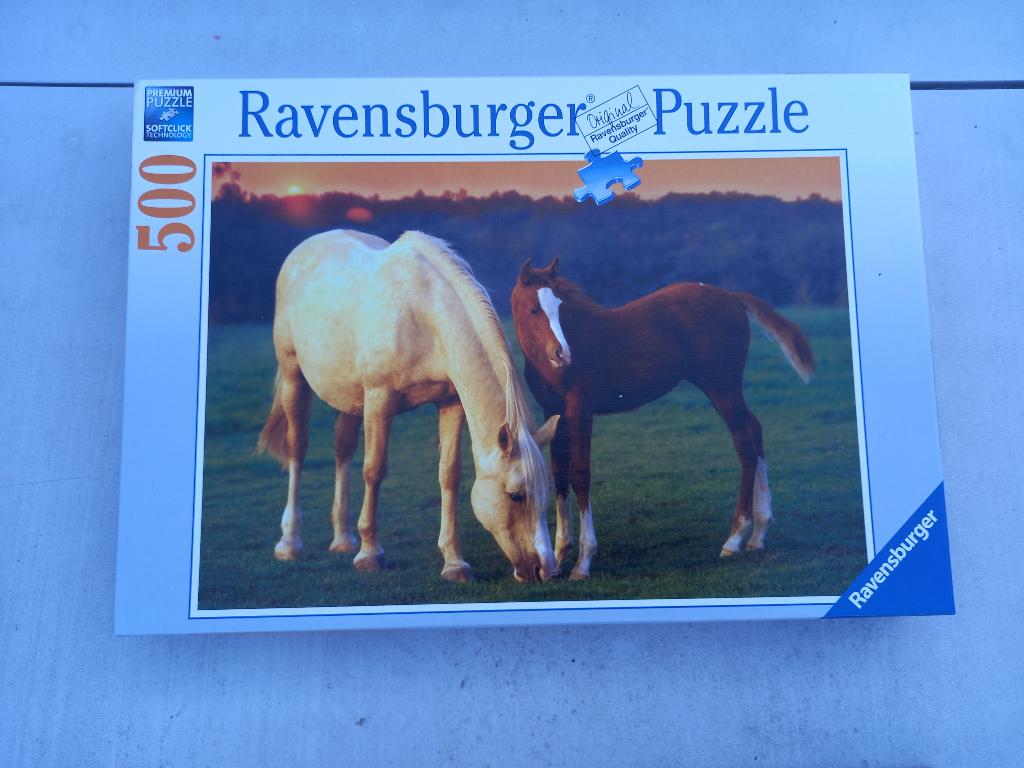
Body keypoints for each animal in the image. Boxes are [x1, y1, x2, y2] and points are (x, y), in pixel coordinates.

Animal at [257, 230, 559, 583]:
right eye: (515, 495)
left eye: (547, 491)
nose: (545, 568)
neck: (424, 312)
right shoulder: (379, 398)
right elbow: (374, 470)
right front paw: (370, 554)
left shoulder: (450, 402)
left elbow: (449, 474)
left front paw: (454, 563)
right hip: (294, 376)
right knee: (298, 449)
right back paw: (290, 543)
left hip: (349, 397)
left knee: (342, 449)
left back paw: (343, 540)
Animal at [511, 258, 815, 579]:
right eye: (534, 309)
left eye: (560, 306)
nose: (563, 354)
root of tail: (730, 297)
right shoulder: (554, 412)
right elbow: (559, 473)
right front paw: (557, 559)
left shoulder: (581, 411)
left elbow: (580, 475)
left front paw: (583, 562)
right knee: (754, 430)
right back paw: (758, 533)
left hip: (722, 386)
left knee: (745, 439)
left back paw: (734, 539)